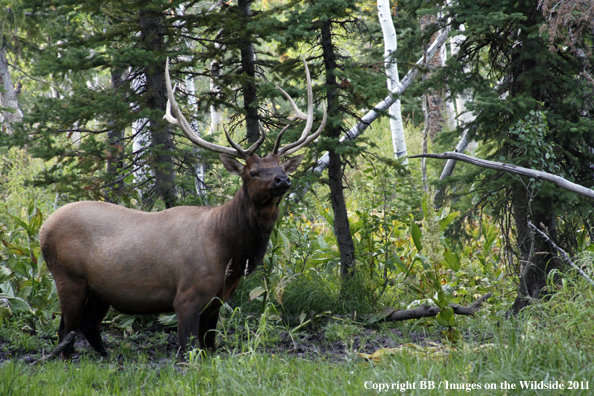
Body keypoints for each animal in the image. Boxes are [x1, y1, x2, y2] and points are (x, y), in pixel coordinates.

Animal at [39, 58, 326, 358]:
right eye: (253, 172)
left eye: (281, 168)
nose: (282, 179)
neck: (229, 251)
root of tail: (42, 228)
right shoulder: (186, 297)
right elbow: (186, 351)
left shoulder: (217, 300)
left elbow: (209, 347)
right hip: (68, 278)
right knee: (67, 330)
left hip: (99, 291)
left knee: (87, 325)